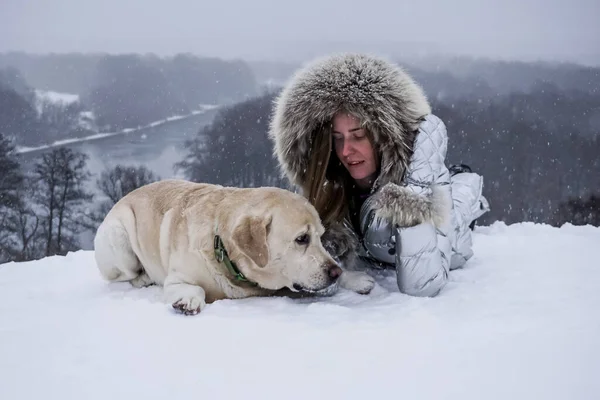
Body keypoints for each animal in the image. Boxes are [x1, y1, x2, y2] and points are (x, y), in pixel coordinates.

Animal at [94, 180, 376, 314]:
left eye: (319, 236)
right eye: (301, 239)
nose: (335, 272)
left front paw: (355, 278)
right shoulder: (176, 279)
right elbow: (193, 287)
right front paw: (188, 300)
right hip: (119, 236)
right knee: (122, 276)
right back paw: (143, 278)